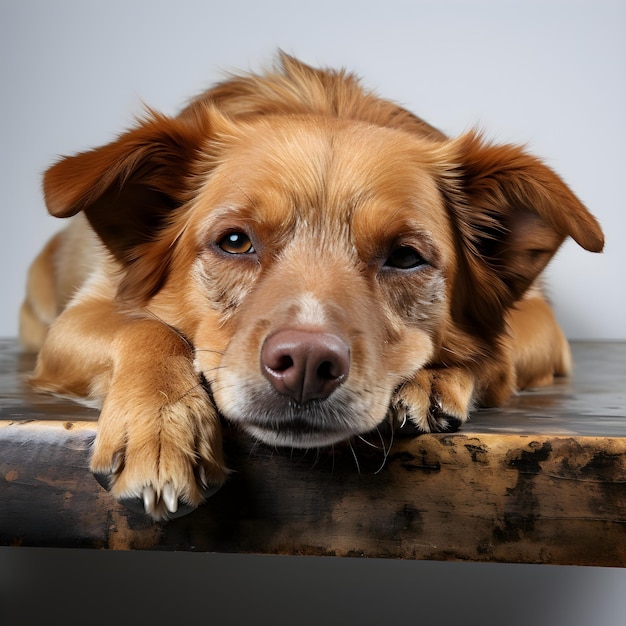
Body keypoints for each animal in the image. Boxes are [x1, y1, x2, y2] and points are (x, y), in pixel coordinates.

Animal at [20, 52, 604, 516]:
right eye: (235, 241)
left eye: (405, 257)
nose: (304, 365)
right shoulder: (85, 311)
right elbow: (145, 328)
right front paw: (161, 428)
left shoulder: (539, 319)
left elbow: (496, 351)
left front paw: (435, 375)